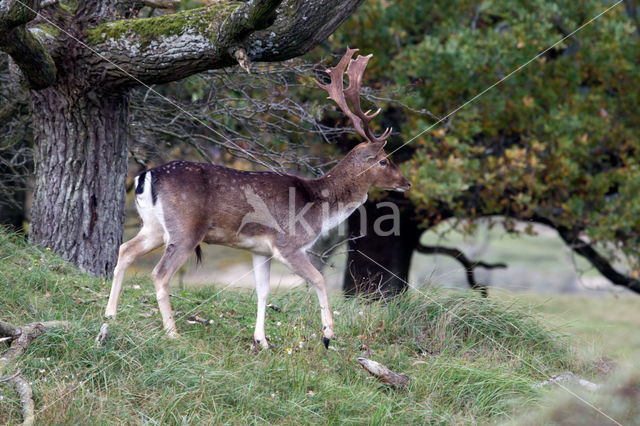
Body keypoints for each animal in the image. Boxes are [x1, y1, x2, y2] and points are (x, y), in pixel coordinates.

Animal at [100, 49, 410, 350]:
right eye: (384, 160)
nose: (406, 182)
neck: (319, 205)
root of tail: (145, 176)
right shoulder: (288, 243)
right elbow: (319, 279)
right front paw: (327, 335)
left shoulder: (260, 250)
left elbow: (263, 291)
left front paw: (261, 340)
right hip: (185, 228)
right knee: (159, 273)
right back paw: (172, 333)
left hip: (154, 227)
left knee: (125, 250)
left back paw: (110, 316)